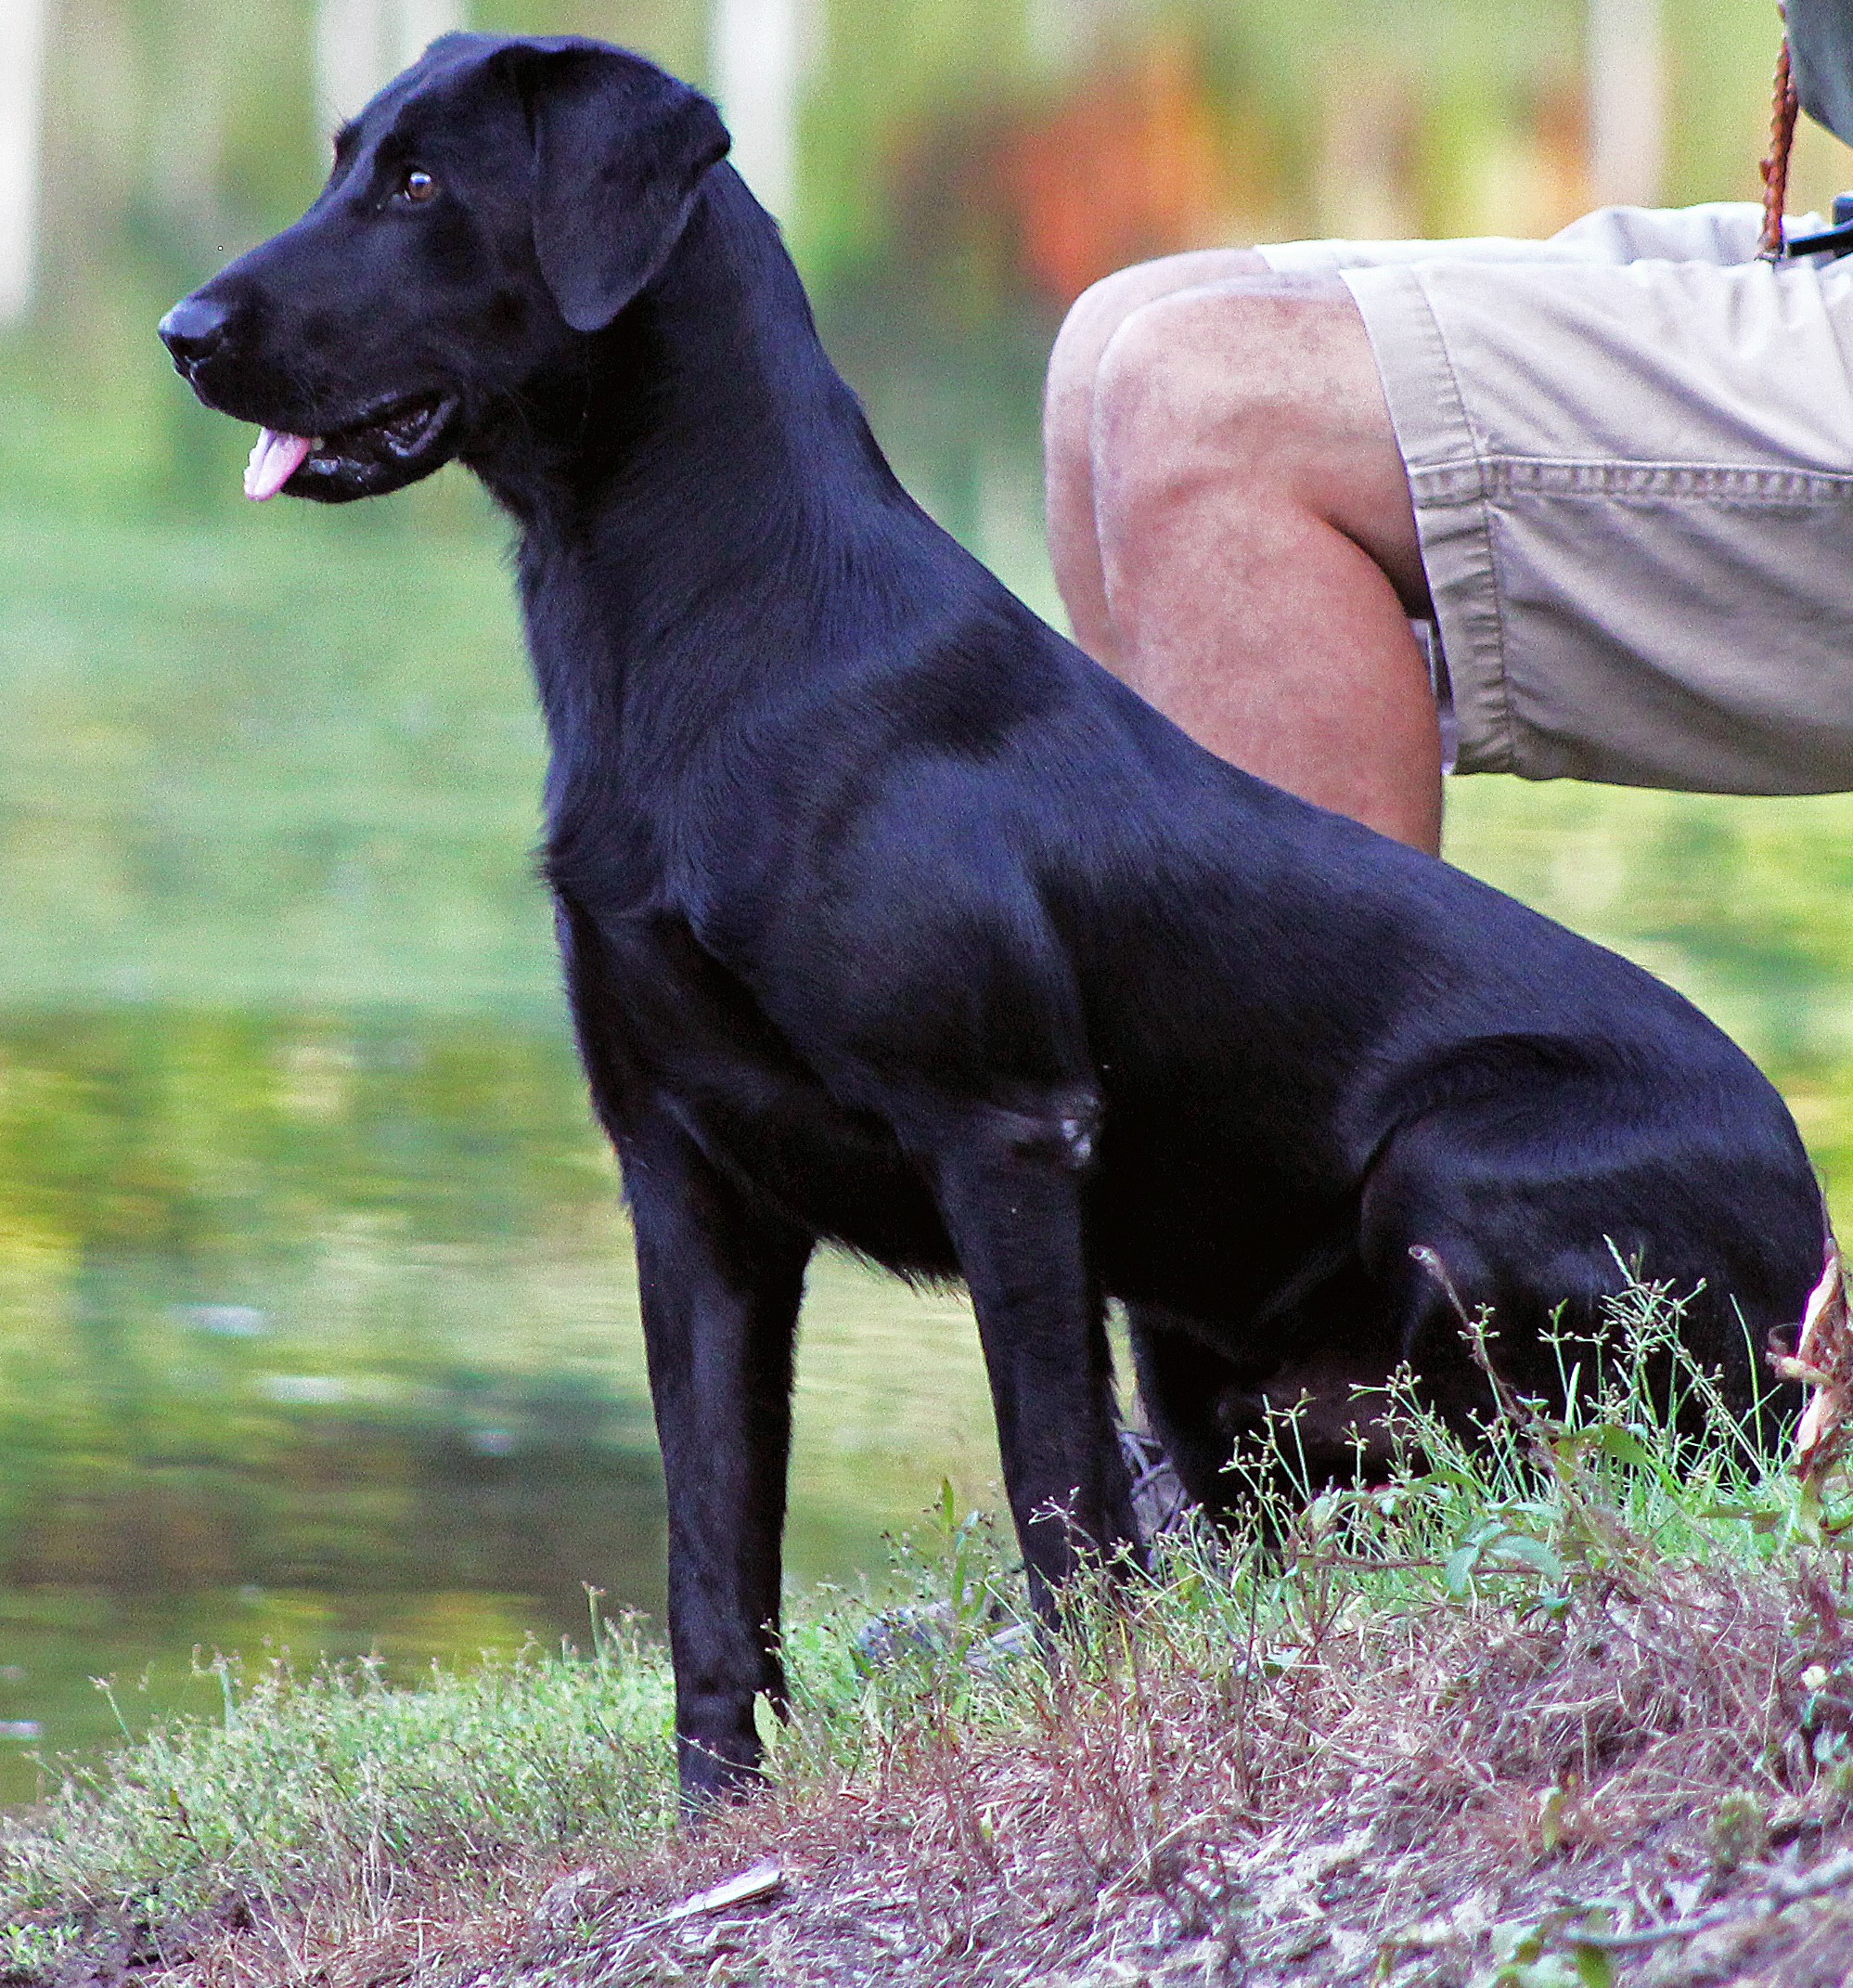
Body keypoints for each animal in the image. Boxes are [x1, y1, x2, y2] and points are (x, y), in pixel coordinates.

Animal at [165, 31, 1829, 1804]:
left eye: (421, 186)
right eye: (347, 157)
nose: (183, 336)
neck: (697, 636)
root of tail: (1822, 1274)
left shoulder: (1007, 1137)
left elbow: (1051, 1494)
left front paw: (1086, 1721)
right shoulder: (684, 1178)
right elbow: (712, 1544)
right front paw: (715, 1805)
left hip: (1446, 1175)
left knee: (1582, 1461)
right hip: (1196, 1338)